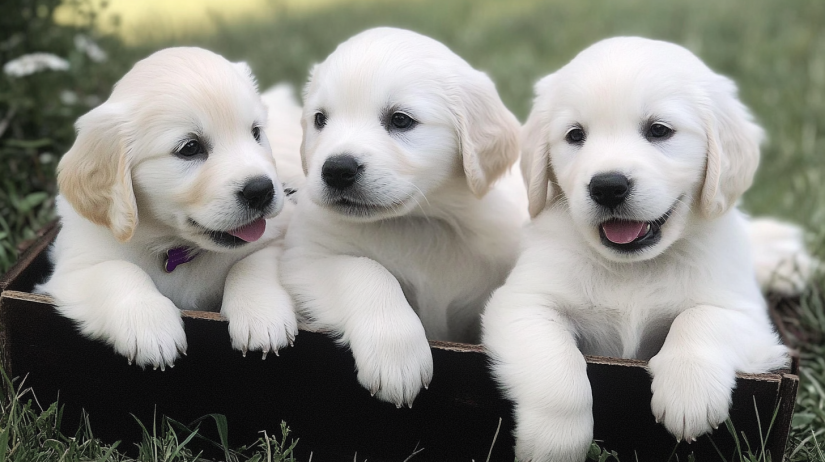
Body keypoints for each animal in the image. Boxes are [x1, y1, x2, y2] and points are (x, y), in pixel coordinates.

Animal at [38, 47, 298, 368]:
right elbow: (118, 271)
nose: (262, 190)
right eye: (190, 148)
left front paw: (262, 315)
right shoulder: (74, 268)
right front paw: (149, 325)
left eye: (255, 132)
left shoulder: (279, 237)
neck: (174, 247)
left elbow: (251, 263)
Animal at [282, 27, 528, 406]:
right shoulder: (303, 258)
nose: (336, 170)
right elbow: (367, 270)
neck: (421, 221)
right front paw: (396, 355)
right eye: (320, 119)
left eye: (400, 120)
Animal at [482, 37, 792, 462]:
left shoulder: (747, 315)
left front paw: (688, 394)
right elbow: (556, 366)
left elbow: (700, 318)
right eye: (575, 135)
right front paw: (555, 440)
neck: (633, 268)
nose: (607, 186)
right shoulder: (523, 302)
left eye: (659, 130)